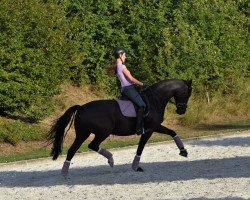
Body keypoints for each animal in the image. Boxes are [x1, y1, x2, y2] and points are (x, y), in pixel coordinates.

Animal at [48, 79, 193, 176]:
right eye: (187, 93)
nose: (181, 111)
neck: (155, 99)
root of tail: (81, 108)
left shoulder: (155, 127)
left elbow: (172, 132)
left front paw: (183, 151)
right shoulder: (149, 130)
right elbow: (140, 148)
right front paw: (136, 167)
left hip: (83, 133)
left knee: (72, 150)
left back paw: (65, 173)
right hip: (101, 132)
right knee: (91, 146)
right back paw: (110, 159)